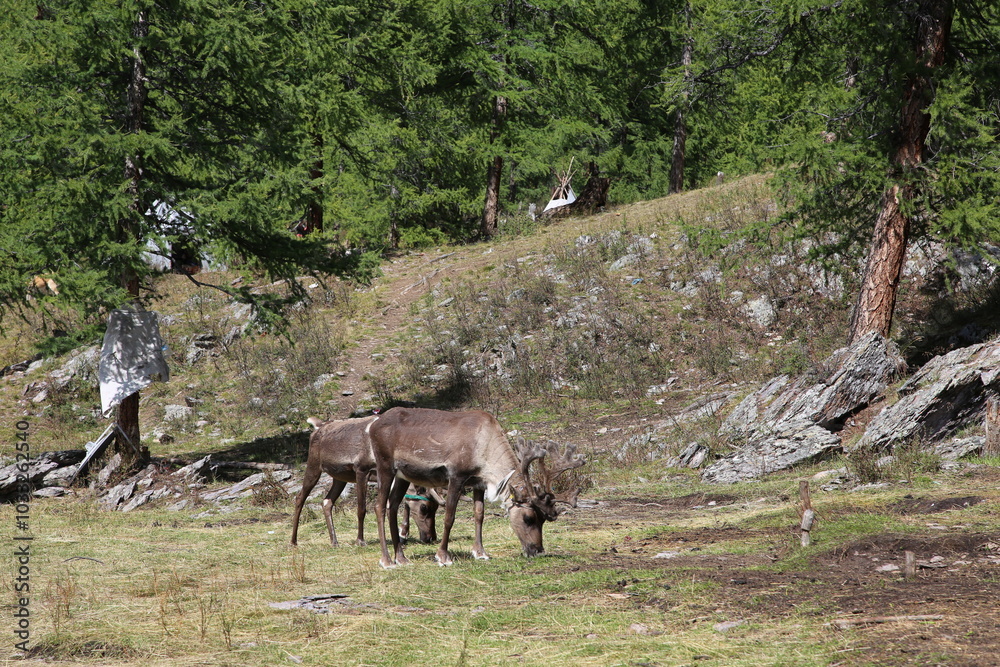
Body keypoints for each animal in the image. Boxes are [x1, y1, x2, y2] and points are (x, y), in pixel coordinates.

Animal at [290, 416, 439, 547]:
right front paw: (360, 540)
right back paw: (293, 542)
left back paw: (334, 542)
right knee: (300, 498)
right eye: (424, 507)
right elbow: (362, 509)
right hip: (314, 464)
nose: (431, 538)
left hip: (340, 477)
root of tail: (317, 426)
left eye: (436, 507)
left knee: (327, 502)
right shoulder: (361, 470)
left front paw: (401, 536)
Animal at [368, 407, 585, 568]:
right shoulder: (456, 475)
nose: (538, 550)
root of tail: (373, 425)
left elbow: (479, 515)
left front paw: (480, 552)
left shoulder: (478, 482)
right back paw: (387, 560)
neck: (486, 448)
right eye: (528, 518)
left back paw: (401, 558)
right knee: (380, 506)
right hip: (385, 466)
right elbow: (449, 517)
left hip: (402, 475)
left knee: (393, 506)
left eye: (544, 520)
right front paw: (443, 556)